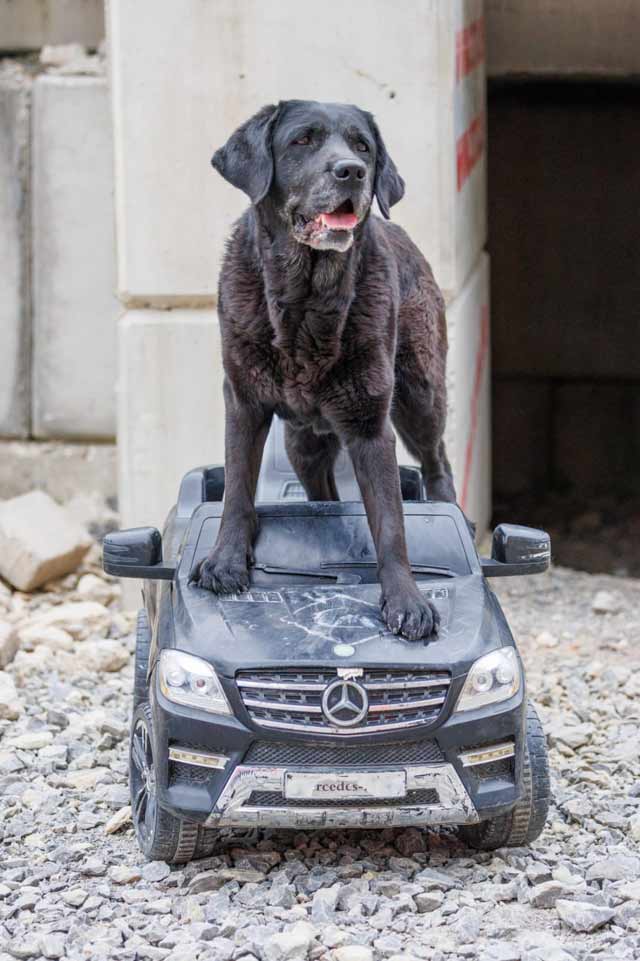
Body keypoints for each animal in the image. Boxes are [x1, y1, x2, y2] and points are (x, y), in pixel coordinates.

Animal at [192, 100, 460, 640]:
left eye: (363, 146)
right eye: (302, 141)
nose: (351, 171)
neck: (306, 299)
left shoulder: (370, 423)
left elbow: (391, 521)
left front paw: (406, 601)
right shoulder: (244, 401)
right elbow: (237, 486)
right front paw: (226, 562)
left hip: (419, 394)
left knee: (437, 461)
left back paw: (447, 504)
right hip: (304, 445)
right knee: (323, 490)